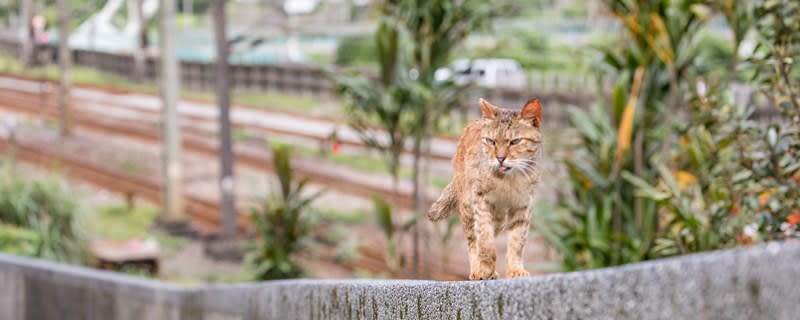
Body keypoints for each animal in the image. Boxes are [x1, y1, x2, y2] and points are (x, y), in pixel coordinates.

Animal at [424, 97, 544, 280]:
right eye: (491, 141)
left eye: (515, 142)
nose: (500, 159)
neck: (508, 181)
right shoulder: (480, 200)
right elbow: (485, 240)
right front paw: (485, 269)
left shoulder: (523, 206)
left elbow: (517, 242)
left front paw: (515, 270)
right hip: (467, 207)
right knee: (473, 240)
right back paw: (477, 270)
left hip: (499, 217)